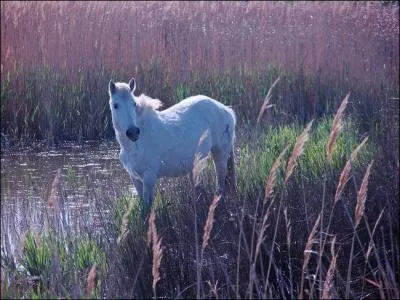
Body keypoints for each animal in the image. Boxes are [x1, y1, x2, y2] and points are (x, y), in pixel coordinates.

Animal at [108, 77, 236, 212]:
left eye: (134, 104)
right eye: (115, 105)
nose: (133, 132)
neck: (136, 144)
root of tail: (226, 110)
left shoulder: (149, 177)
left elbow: (147, 207)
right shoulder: (136, 178)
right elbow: (143, 205)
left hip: (220, 154)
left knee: (220, 185)